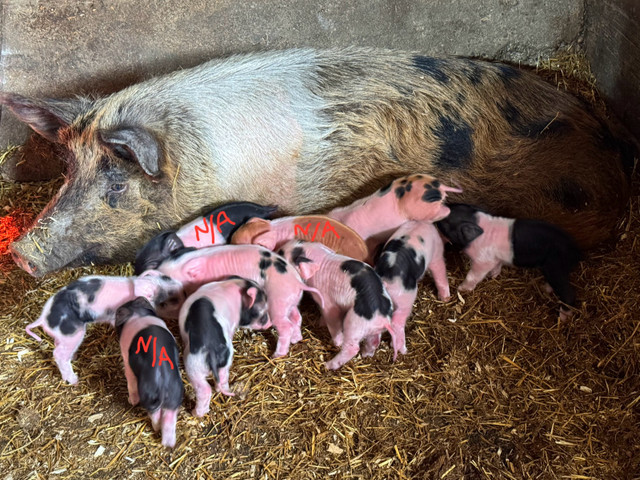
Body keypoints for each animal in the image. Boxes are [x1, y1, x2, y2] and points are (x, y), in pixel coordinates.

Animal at [26, 272, 184, 384]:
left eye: (166, 276)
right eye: (168, 300)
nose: (183, 286)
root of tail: (44, 318)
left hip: (63, 337)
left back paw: (74, 357)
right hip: (72, 333)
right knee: (58, 354)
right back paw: (74, 380)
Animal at [115, 298, 182, 448]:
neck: (137, 313)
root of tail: (162, 380)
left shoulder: (126, 357)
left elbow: (130, 380)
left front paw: (131, 401)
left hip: (148, 395)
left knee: (155, 415)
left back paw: (156, 428)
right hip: (175, 395)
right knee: (169, 419)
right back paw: (169, 443)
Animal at [179, 278, 272, 416]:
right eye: (263, 314)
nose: (270, 323)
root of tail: (211, 351)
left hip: (193, 365)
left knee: (204, 389)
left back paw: (194, 413)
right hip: (218, 362)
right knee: (220, 380)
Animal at [438, 202, 584, 318]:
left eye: (445, 221)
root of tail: (576, 251)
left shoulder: (483, 260)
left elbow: (473, 275)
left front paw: (461, 289)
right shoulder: (495, 259)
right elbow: (497, 267)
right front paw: (493, 276)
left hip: (555, 267)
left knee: (569, 293)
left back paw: (563, 319)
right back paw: (545, 288)